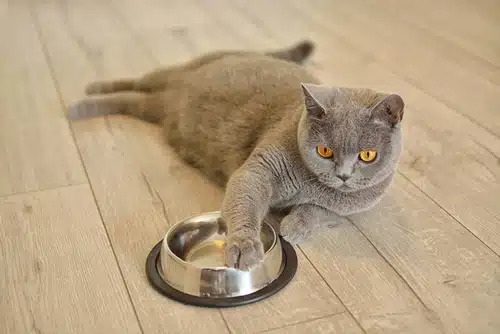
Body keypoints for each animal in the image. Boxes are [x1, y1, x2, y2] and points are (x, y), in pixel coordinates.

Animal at [69, 41, 406, 272]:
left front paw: (296, 226)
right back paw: (85, 97)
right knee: (136, 82)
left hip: (156, 107)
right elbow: (246, 202)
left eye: (367, 155)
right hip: (176, 72)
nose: (344, 175)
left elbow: (320, 210)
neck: (311, 183)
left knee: (133, 100)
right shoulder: (260, 169)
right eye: (325, 150)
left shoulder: (350, 207)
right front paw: (245, 247)